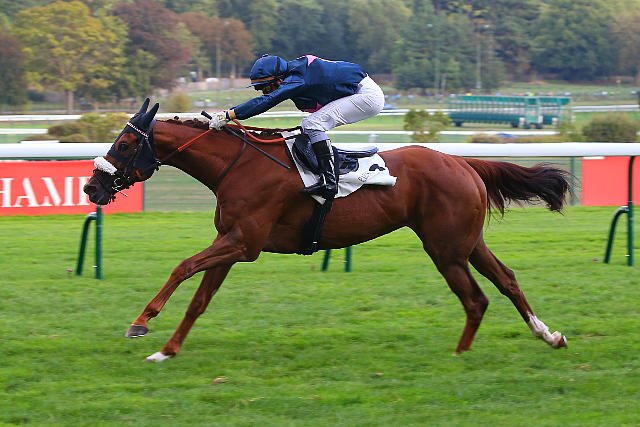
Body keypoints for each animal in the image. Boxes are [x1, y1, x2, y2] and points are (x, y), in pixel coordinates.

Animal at [84, 99, 570, 362]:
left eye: (126, 143)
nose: (91, 186)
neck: (238, 166)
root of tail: (464, 162)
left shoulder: (243, 243)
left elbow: (183, 267)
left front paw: (141, 322)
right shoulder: (231, 243)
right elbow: (199, 300)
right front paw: (167, 350)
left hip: (446, 248)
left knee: (475, 298)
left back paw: (459, 354)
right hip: (467, 242)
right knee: (506, 281)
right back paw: (548, 335)